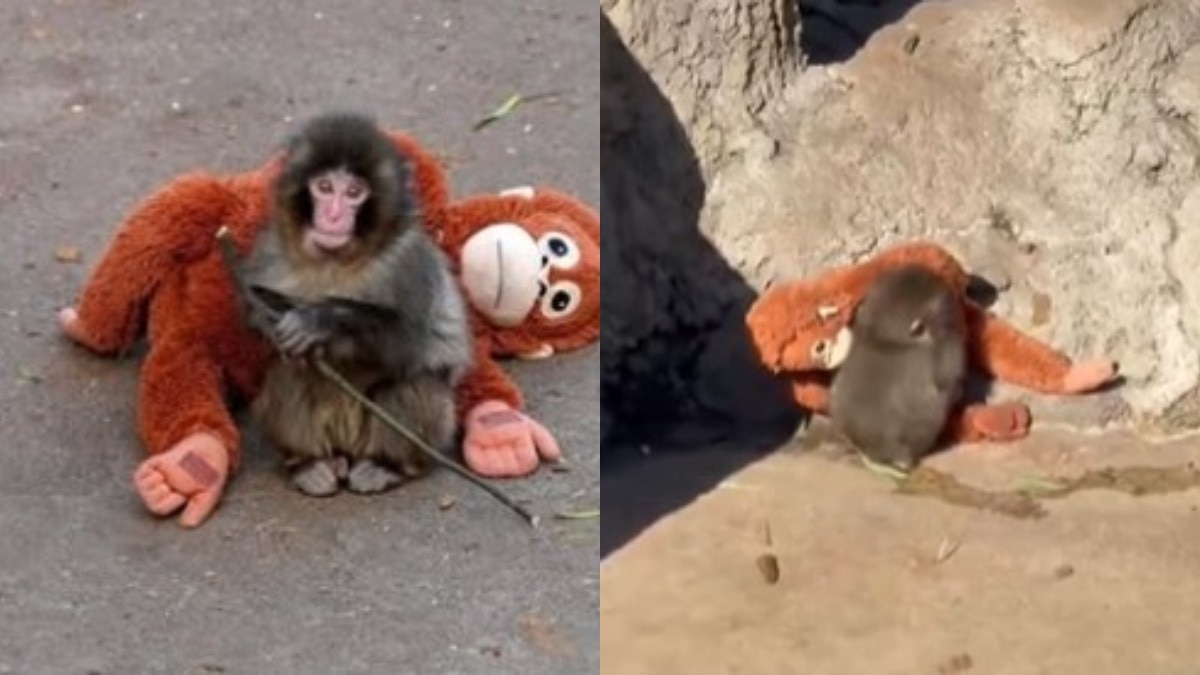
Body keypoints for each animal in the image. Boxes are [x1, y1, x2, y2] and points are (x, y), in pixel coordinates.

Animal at [241, 112, 473, 497]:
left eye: (353, 192)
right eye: (323, 187)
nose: (333, 217)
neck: (336, 262)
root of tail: (348, 450)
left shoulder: (408, 262)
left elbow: (406, 345)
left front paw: (321, 320)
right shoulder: (269, 249)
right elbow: (251, 323)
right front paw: (269, 312)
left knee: (414, 383)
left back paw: (387, 465)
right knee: (289, 373)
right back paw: (309, 463)